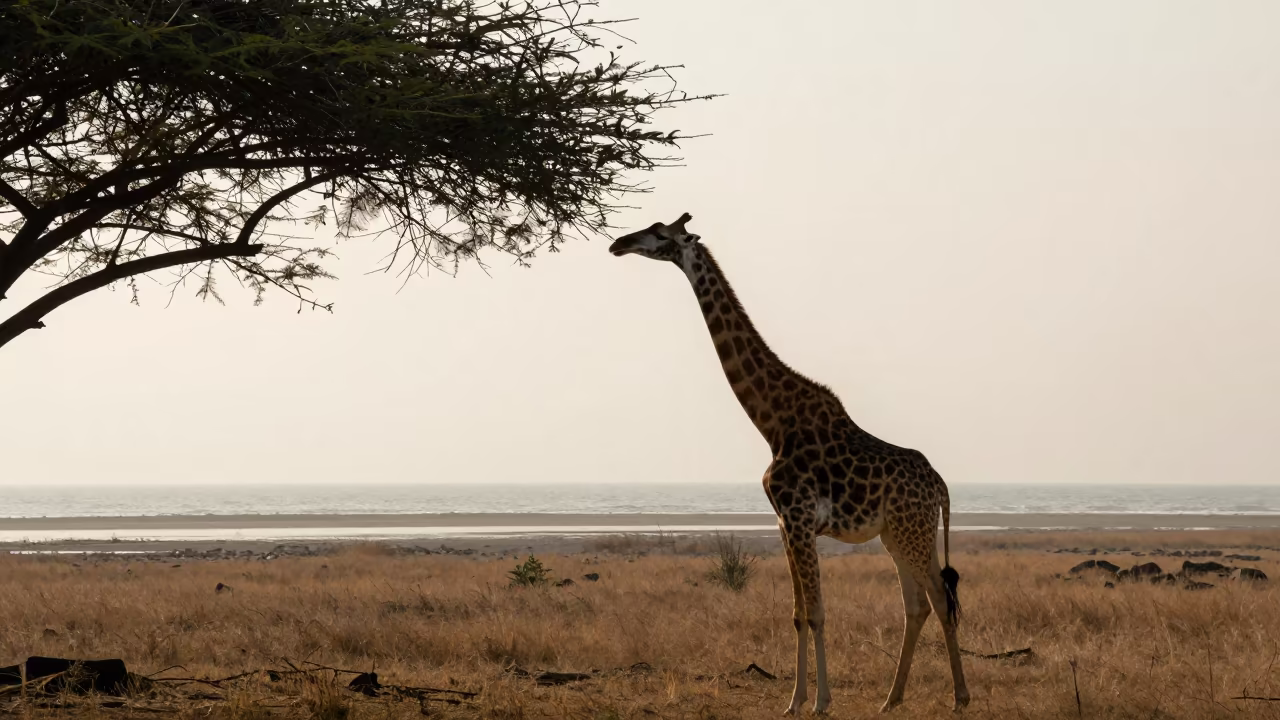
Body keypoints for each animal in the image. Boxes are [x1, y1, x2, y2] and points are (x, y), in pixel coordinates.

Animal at [609, 213, 970, 715]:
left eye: (661, 234)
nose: (618, 244)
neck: (772, 421)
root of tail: (941, 488)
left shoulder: (798, 517)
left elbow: (816, 612)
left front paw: (821, 702)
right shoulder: (783, 523)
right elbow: (798, 613)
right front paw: (795, 701)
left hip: (912, 531)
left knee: (939, 597)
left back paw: (960, 698)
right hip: (897, 534)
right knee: (917, 604)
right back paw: (891, 699)